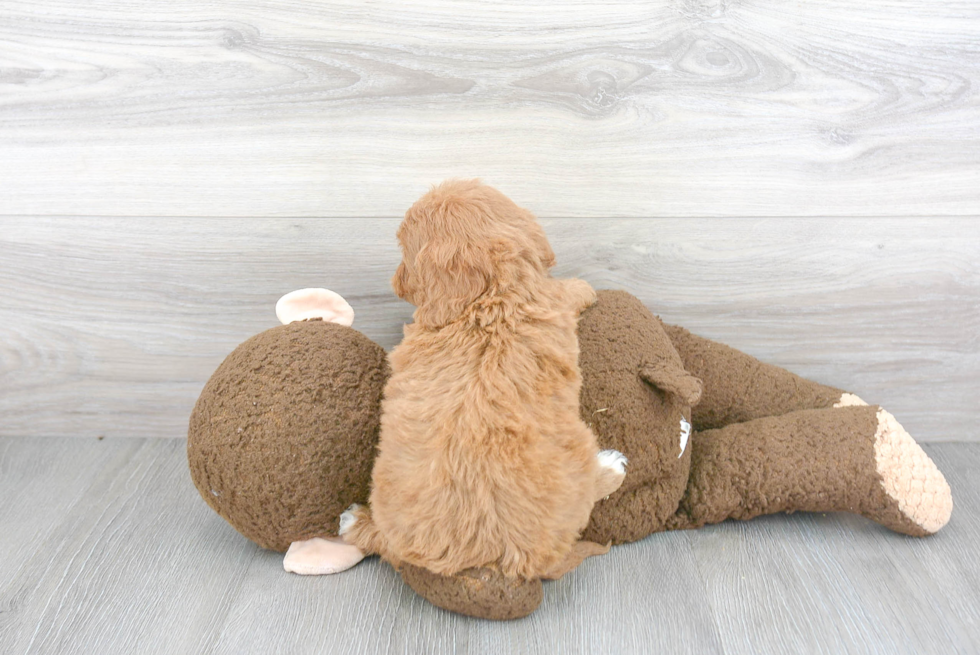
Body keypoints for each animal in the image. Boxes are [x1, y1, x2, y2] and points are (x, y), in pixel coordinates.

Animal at [340, 178, 624, 580]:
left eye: (405, 253)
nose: (395, 283)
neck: (488, 295)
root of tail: (489, 557)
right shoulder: (548, 299)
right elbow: (566, 291)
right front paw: (586, 287)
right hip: (579, 448)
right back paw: (611, 466)